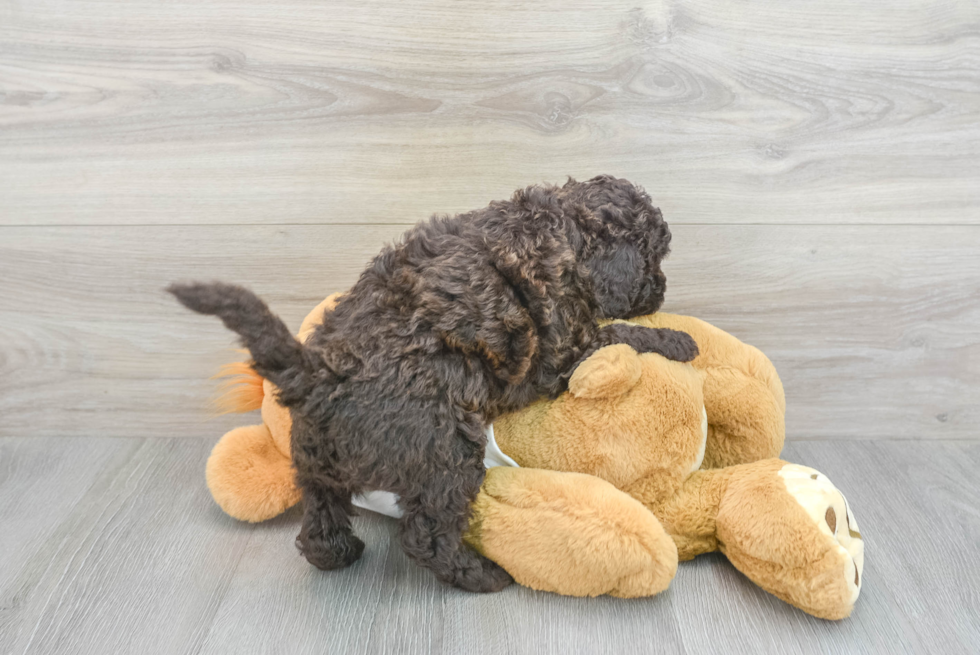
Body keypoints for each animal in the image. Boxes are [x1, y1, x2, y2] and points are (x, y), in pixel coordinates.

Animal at [172, 176, 700, 596]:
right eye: (654, 258)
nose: (661, 292)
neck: (563, 224)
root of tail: (319, 375)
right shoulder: (563, 350)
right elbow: (619, 333)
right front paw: (677, 339)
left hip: (313, 456)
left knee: (319, 512)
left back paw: (338, 553)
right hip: (446, 451)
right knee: (425, 534)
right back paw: (483, 576)